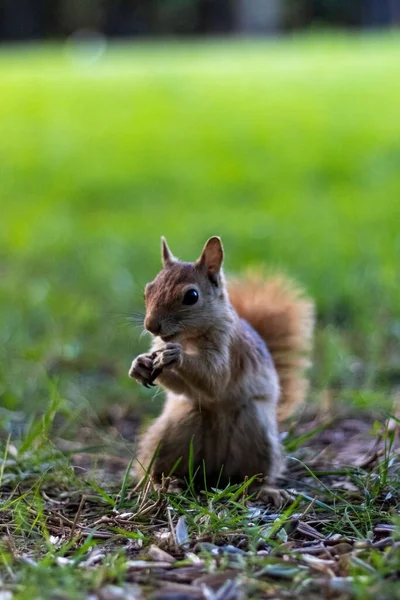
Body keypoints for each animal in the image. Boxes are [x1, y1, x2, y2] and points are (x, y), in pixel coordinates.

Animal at [130, 237, 314, 504]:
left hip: (256, 432)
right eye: (148, 290)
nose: (151, 325)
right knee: (159, 467)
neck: (188, 338)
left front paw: (177, 357)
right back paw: (161, 485)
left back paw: (265, 490)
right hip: (172, 433)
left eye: (192, 296)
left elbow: (214, 379)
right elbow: (179, 385)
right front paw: (139, 365)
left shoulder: (229, 349)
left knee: (251, 476)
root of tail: (212, 471)